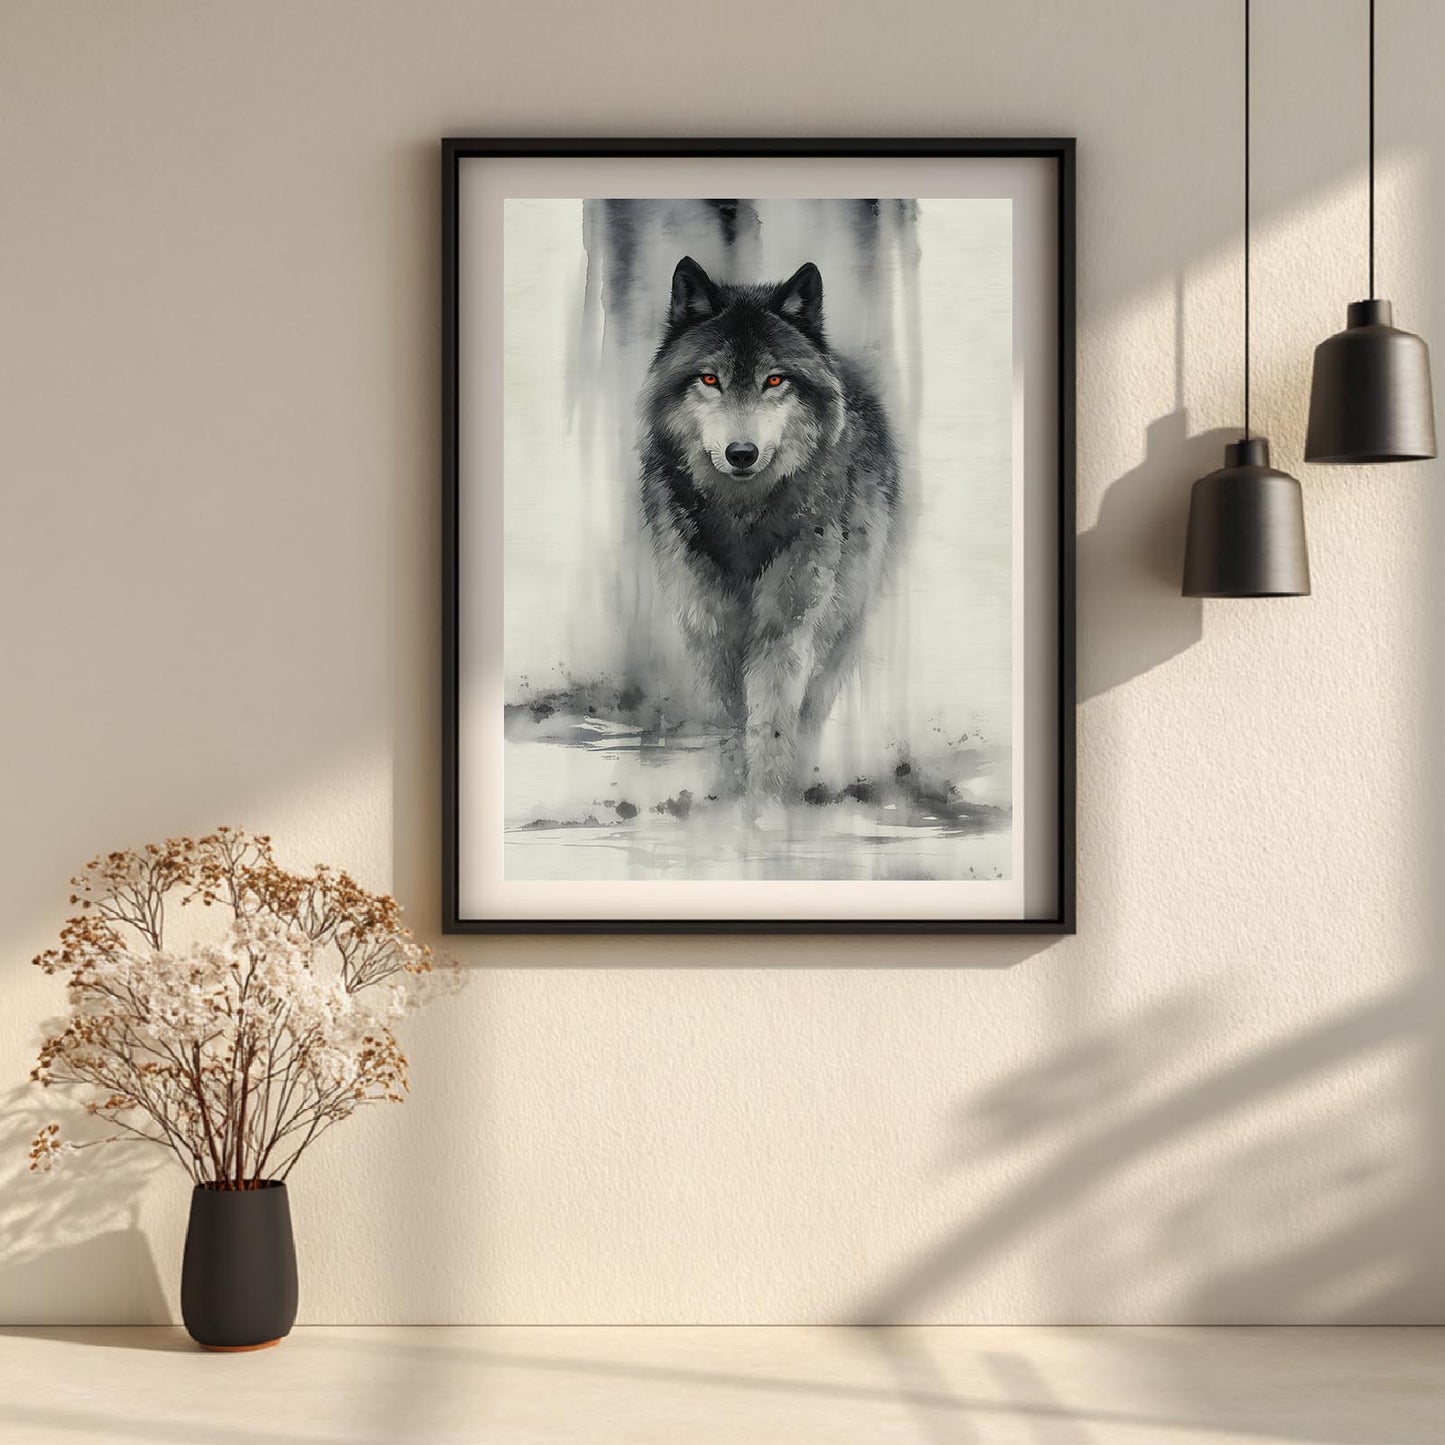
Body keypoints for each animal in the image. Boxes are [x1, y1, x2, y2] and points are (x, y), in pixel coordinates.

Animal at [638, 255, 900, 802]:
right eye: (710, 379)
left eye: (775, 381)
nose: (742, 453)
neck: (743, 520)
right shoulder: (708, 630)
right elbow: (734, 719)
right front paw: (732, 793)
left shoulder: (785, 628)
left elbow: (773, 720)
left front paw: (766, 803)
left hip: (844, 620)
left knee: (814, 707)